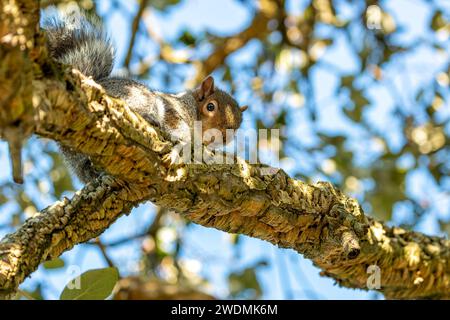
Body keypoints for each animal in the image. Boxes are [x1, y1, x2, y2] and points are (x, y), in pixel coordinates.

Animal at [43, 10, 246, 184]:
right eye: (210, 107)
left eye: (237, 127)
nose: (224, 137)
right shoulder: (173, 108)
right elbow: (177, 127)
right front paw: (183, 143)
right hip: (137, 99)